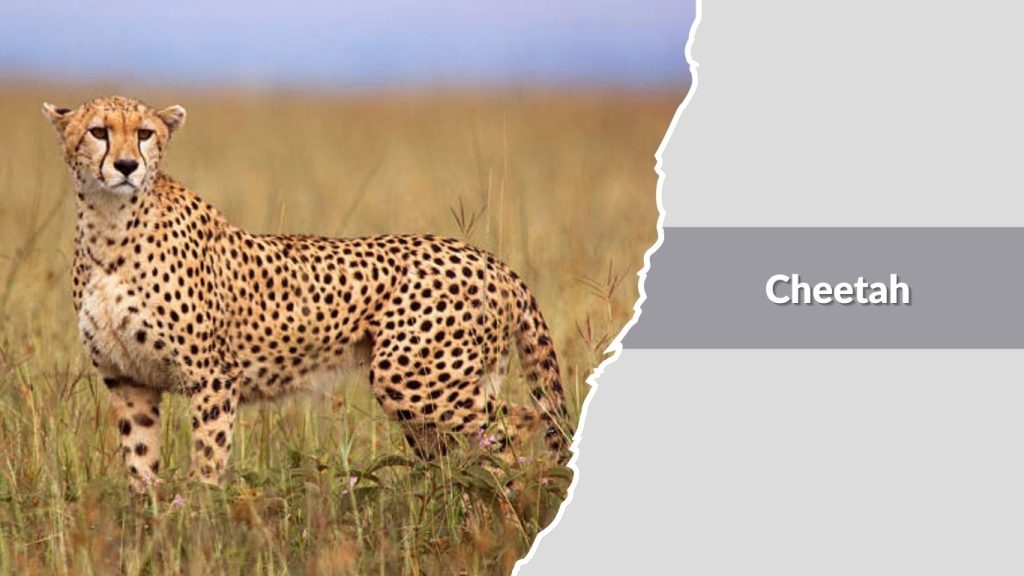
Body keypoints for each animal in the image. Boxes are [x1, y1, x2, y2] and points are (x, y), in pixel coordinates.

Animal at [41, 95, 571, 492]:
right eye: (99, 132)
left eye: (145, 133)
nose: (126, 165)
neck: (110, 225)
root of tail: (491, 260)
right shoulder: (128, 380)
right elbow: (140, 465)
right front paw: (150, 522)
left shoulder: (212, 376)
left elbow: (207, 460)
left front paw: (195, 519)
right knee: (460, 452)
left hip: (415, 379)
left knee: (515, 425)